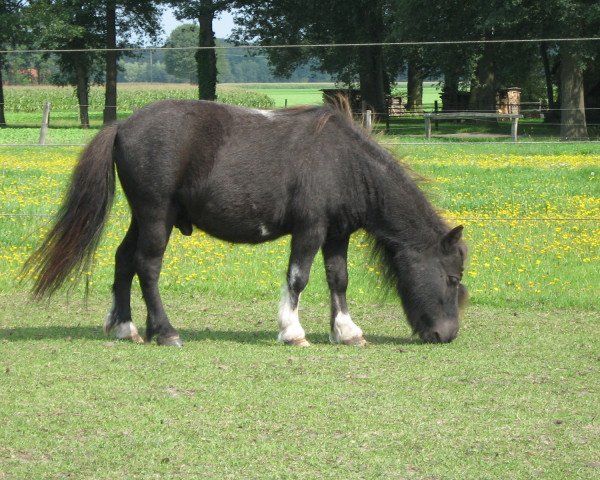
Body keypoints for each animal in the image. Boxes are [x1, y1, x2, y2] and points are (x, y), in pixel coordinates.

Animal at [27, 99, 468, 346]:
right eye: (451, 278)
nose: (446, 335)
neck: (344, 163)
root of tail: (122, 126)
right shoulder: (310, 230)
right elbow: (298, 279)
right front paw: (293, 331)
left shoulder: (336, 234)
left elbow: (338, 280)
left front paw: (346, 332)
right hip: (156, 214)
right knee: (147, 266)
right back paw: (165, 332)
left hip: (143, 216)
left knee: (123, 260)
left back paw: (125, 326)